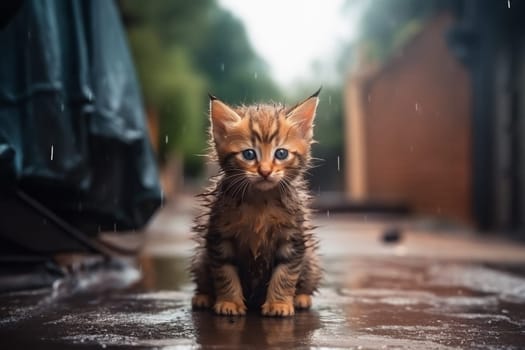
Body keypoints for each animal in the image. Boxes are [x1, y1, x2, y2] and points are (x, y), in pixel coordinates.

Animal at [189, 88, 320, 318]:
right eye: (249, 154)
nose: (265, 171)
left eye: (281, 153)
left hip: (310, 259)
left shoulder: (293, 239)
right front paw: (229, 302)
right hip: (201, 258)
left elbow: (285, 273)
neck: (260, 200)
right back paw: (203, 297)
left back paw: (301, 297)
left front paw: (279, 304)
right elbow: (224, 272)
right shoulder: (219, 237)